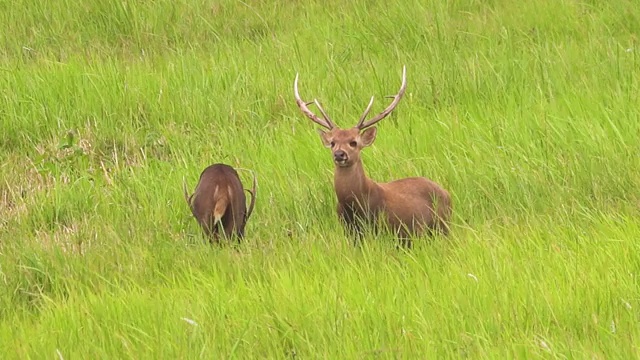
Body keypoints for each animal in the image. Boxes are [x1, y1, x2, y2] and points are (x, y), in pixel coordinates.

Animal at [294, 64, 450, 246]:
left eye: (353, 142)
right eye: (332, 142)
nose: (339, 154)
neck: (355, 205)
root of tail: (447, 194)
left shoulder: (384, 227)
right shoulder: (349, 231)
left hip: (443, 226)